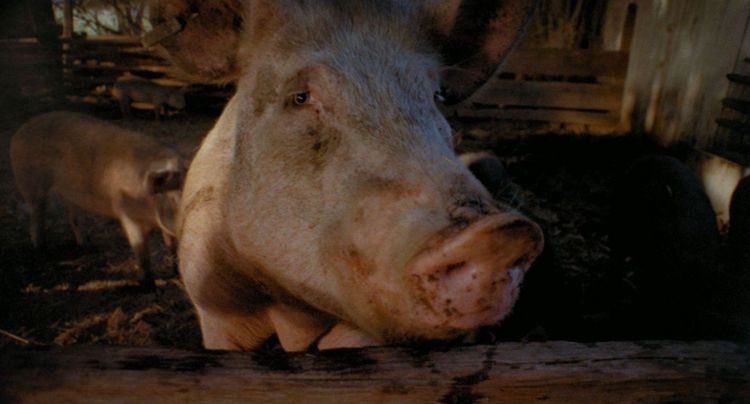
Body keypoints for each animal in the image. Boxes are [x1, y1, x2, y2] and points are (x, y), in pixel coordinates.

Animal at [10, 111, 186, 288]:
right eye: (178, 199)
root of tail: (23, 127)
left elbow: (172, 245)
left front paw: (177, 275)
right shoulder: (127, 213)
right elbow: (141, 250)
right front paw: (147, 285)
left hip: (70, 193)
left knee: (73, 216)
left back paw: (86, 245)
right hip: (29, 181)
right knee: (37, 213)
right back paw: (41, 248)